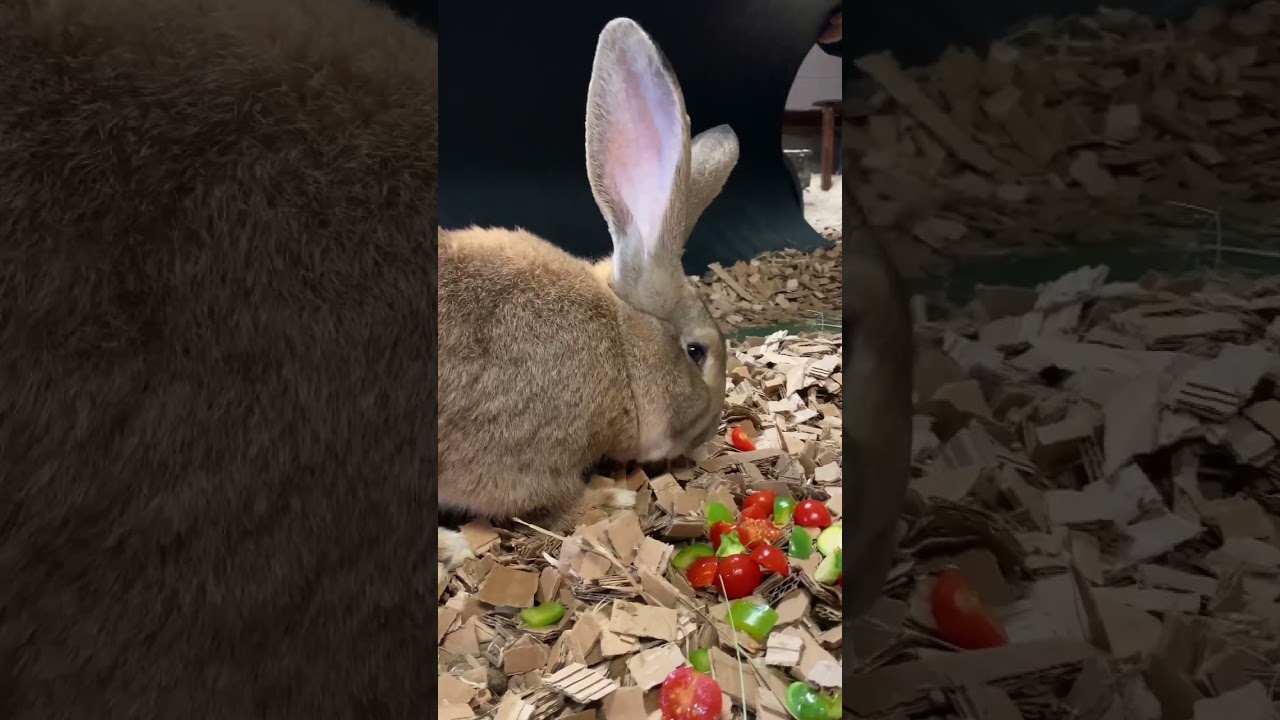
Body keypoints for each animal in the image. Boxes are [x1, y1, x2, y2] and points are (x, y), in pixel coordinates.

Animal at [436, 17, 739, 577]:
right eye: (696, 352)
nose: (706, 434)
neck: (622, 345)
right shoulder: (525, 459)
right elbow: (549, 501)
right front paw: (611, 499)